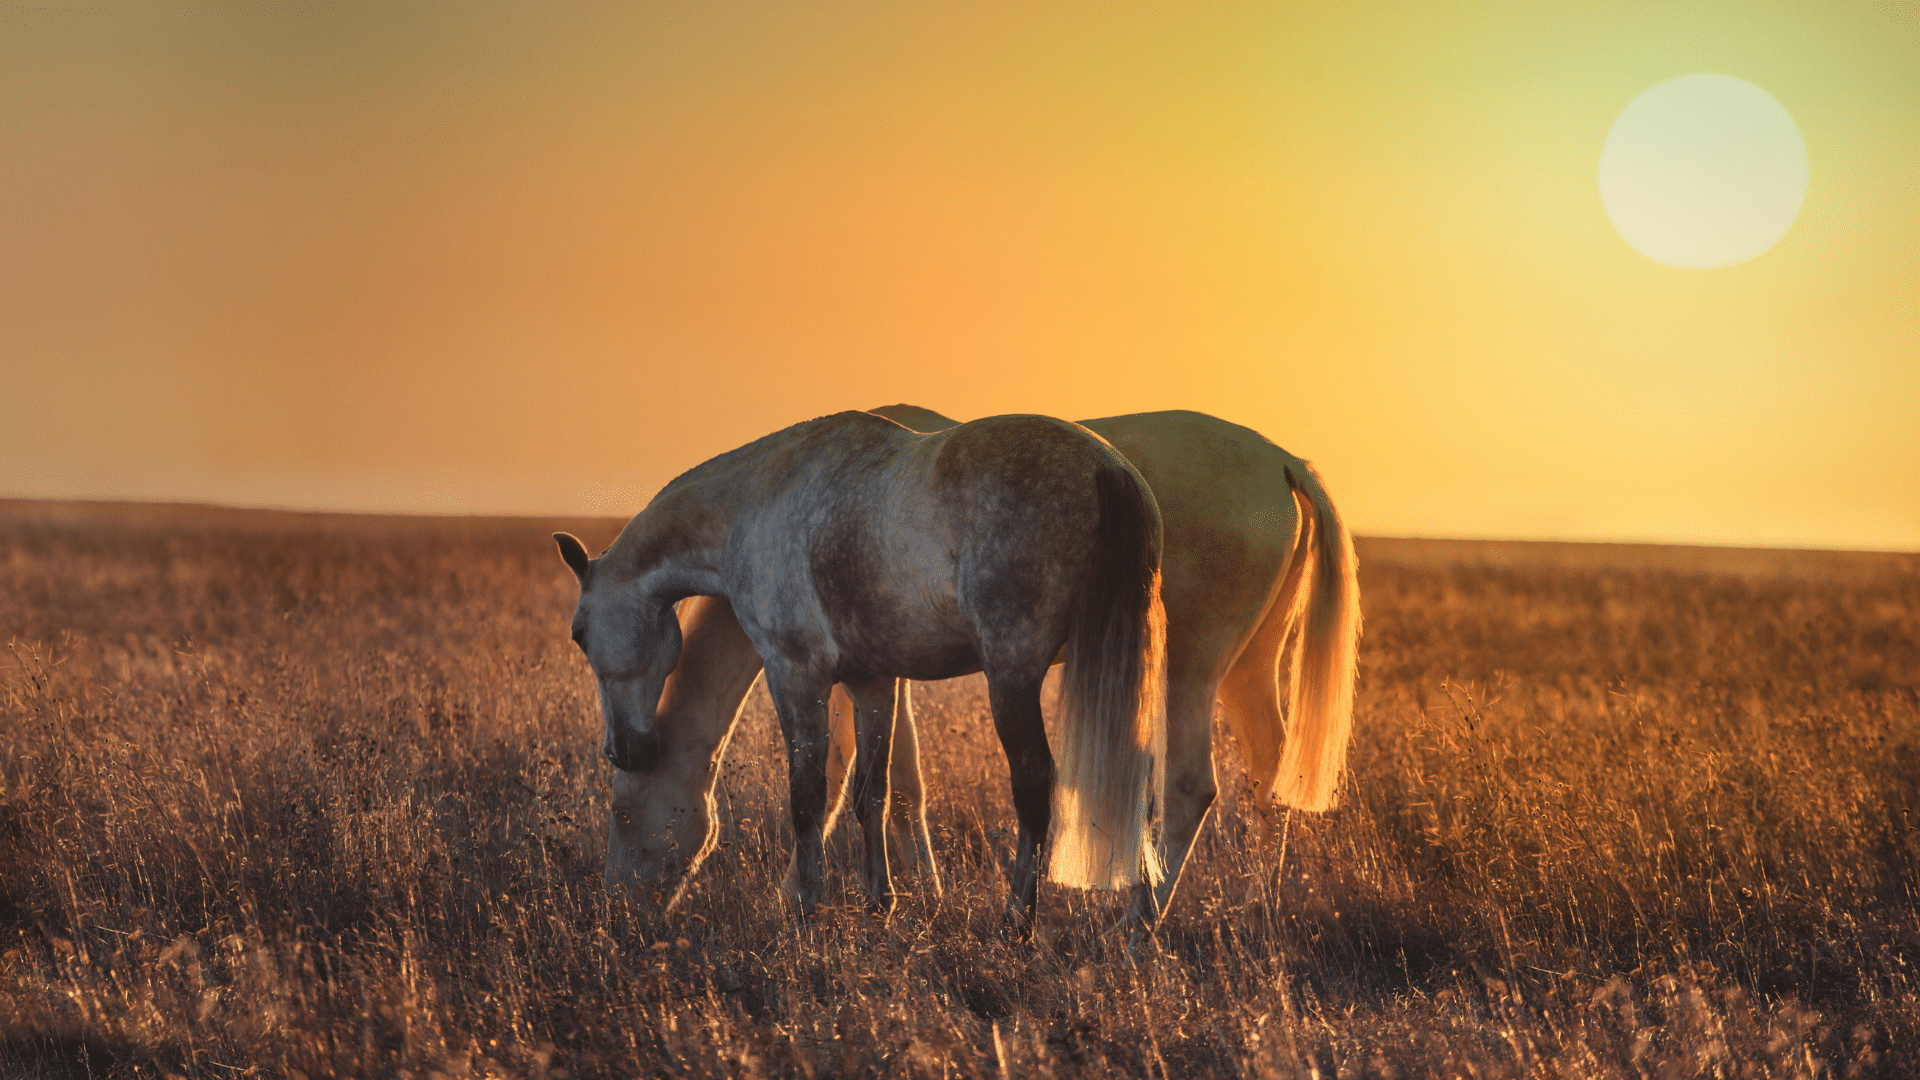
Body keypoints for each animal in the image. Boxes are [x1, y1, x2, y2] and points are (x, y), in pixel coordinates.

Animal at [549, 407, 1159, 922]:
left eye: (579, 634)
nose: (623, 749)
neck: (751, 505)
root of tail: (1108, 468)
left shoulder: (796, 677)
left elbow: (807, 798)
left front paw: (807, 907)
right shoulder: (873, 683)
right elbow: (873, 794)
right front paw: (879, 903)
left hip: (1013, 679)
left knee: (1033, 784)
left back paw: (1018, 921)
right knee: (1140, 785)